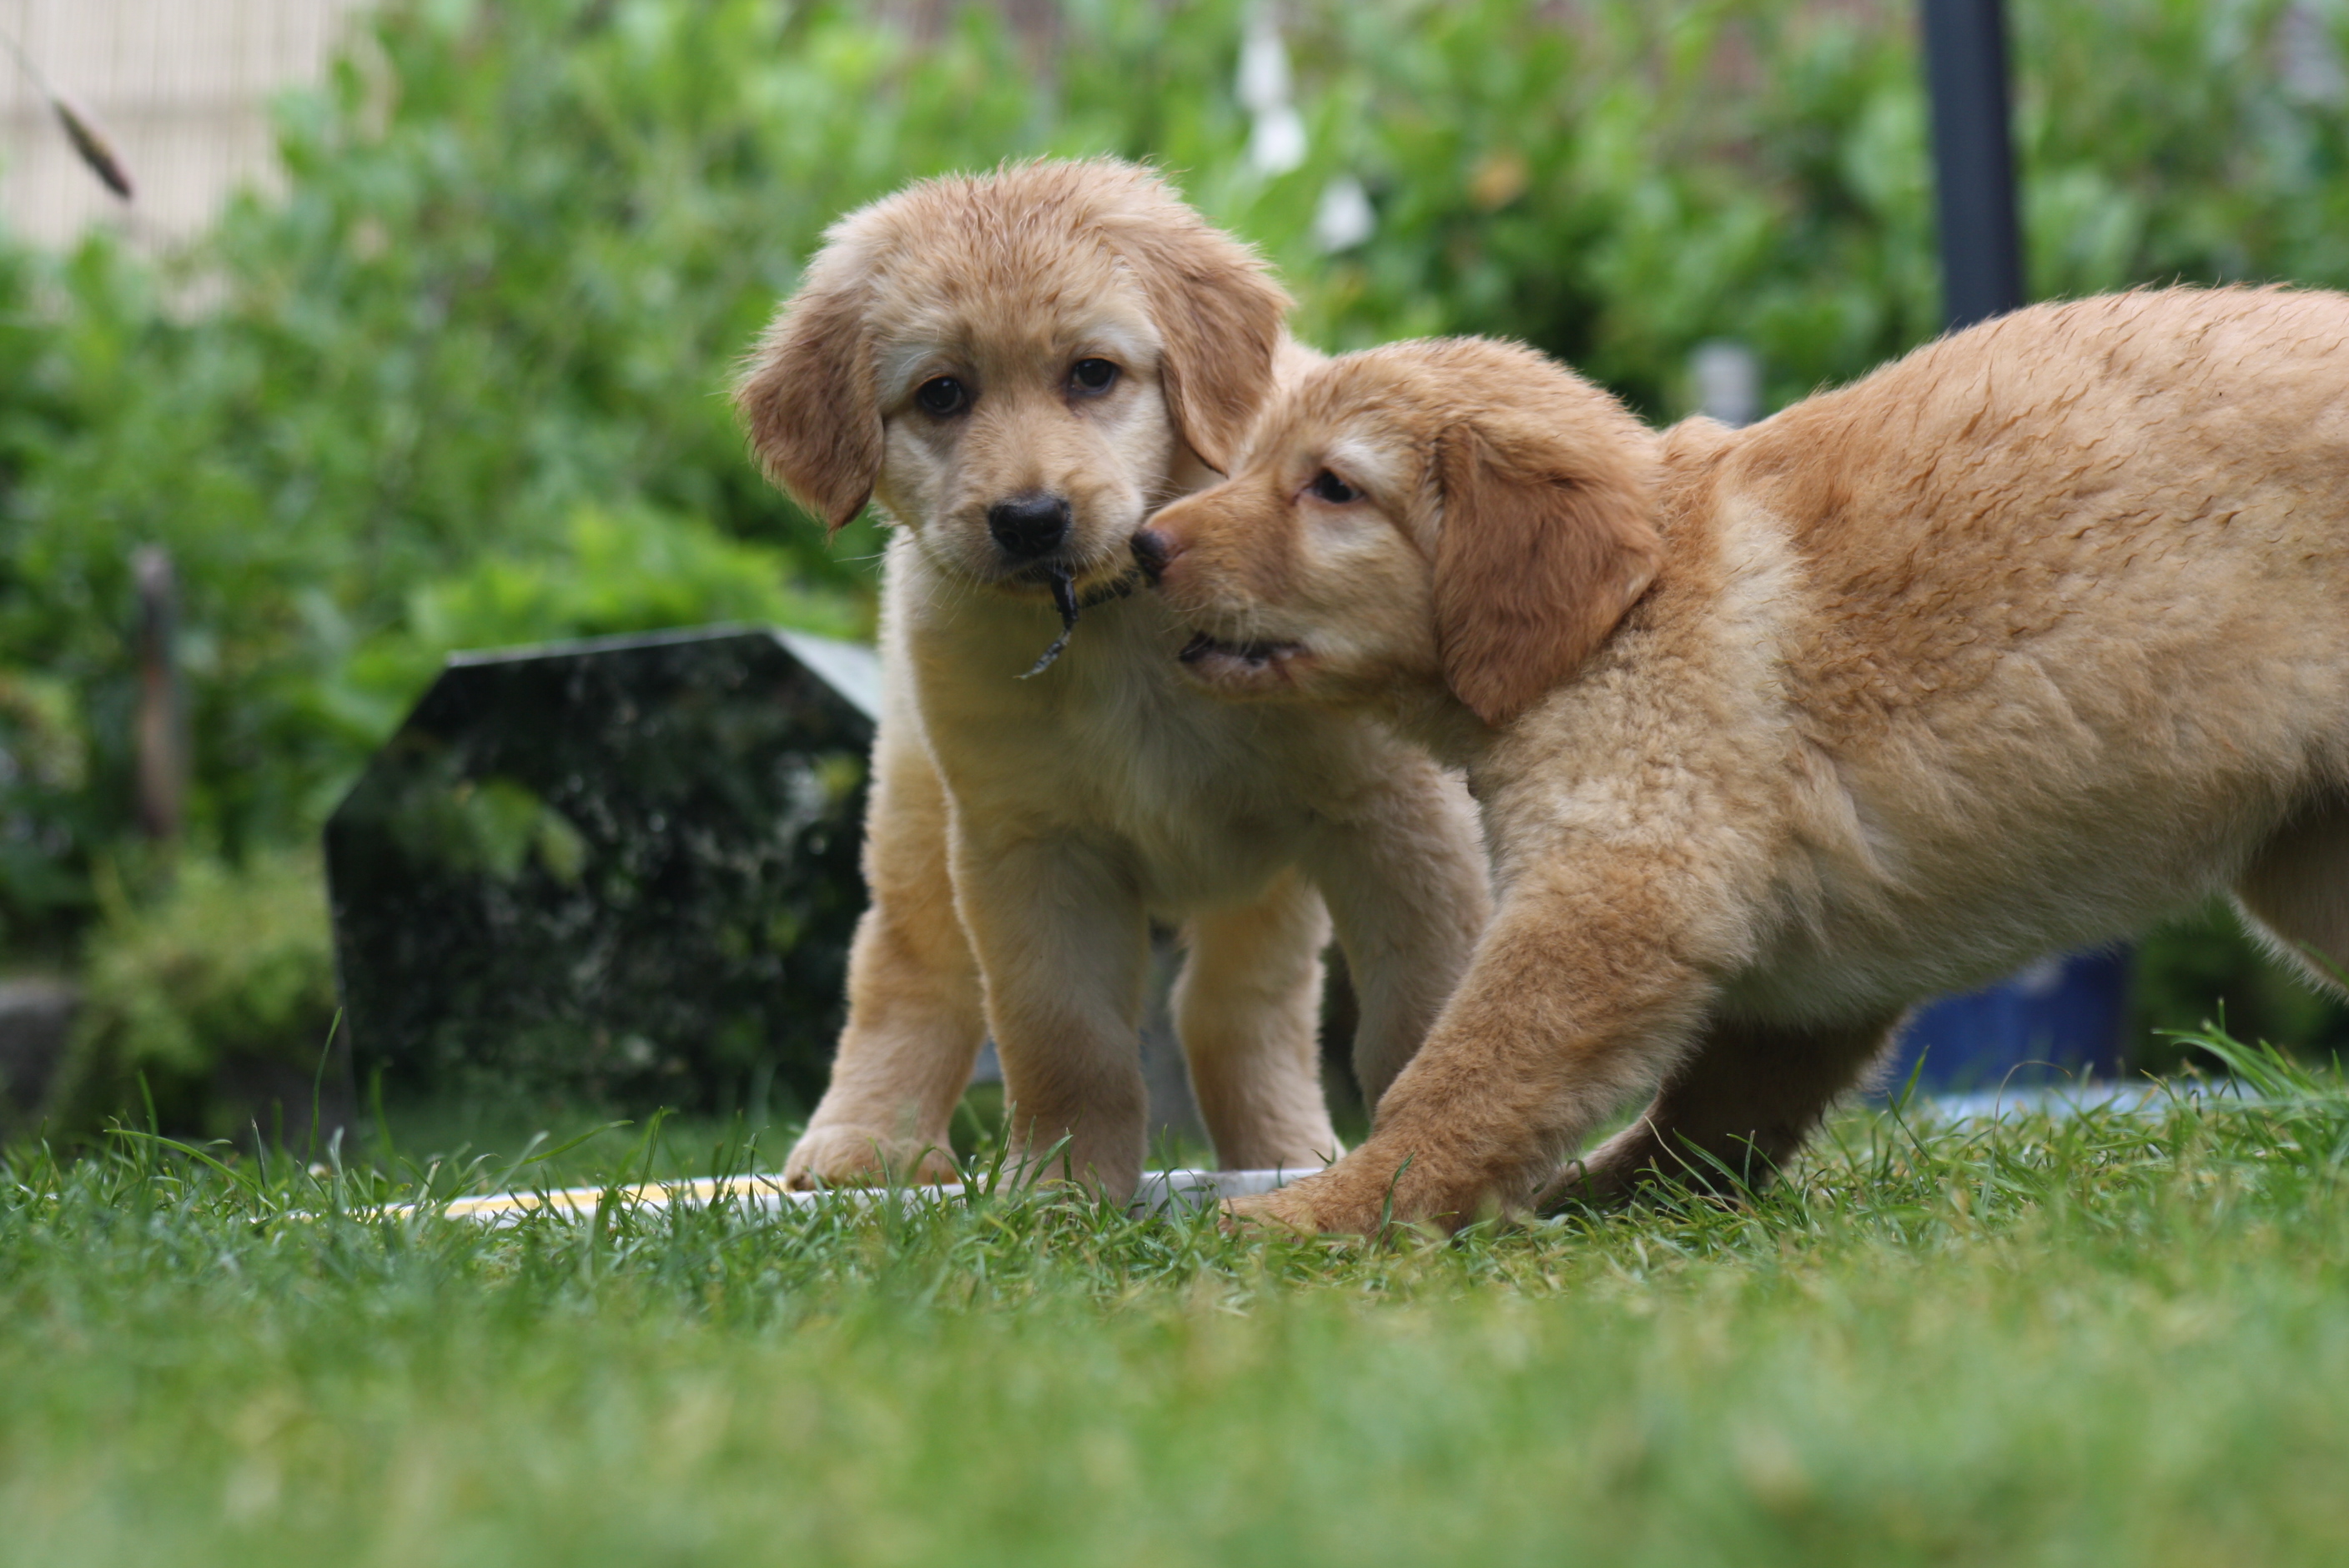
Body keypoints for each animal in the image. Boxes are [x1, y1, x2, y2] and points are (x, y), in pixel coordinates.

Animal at [732, 159, 1490, 1200]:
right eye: (941, 394)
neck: (1119, 620)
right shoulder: (1029, 842)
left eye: (1092, 373)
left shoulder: (1394, 813)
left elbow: (1420, 1008)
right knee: (907, 967)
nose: (1029, 519)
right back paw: (862, 1141)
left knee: (1236, 1004)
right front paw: (1057, 1192)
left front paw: (1412, 1163)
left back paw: (1284, 1150)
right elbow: (1064, 1036)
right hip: (918, 805)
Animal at [1136, 286, 2349, 1232]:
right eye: (1250, 466)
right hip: (2308, 864)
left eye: (1331, 487)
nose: (1145, 548)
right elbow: (1708, 1115)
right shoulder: (1800, 986)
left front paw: (1327, 1212)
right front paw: (1603, 1198)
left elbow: (1462, 1078)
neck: (1625, 611)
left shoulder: (1615, 892)